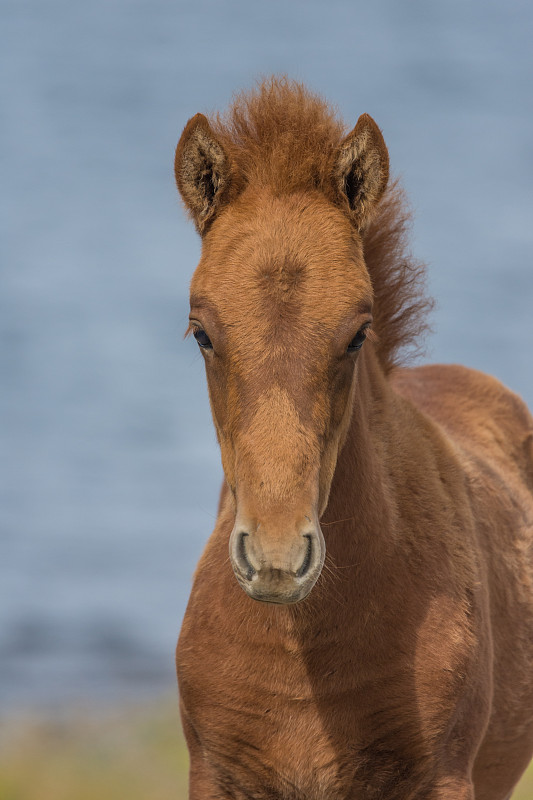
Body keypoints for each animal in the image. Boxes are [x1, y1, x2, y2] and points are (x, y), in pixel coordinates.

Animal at [172, 79, 532, 800]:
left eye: (358, 332)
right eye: (201, 332)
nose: (278, 556)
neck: (304, 661)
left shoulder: (445, 778)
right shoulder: (213, 775)